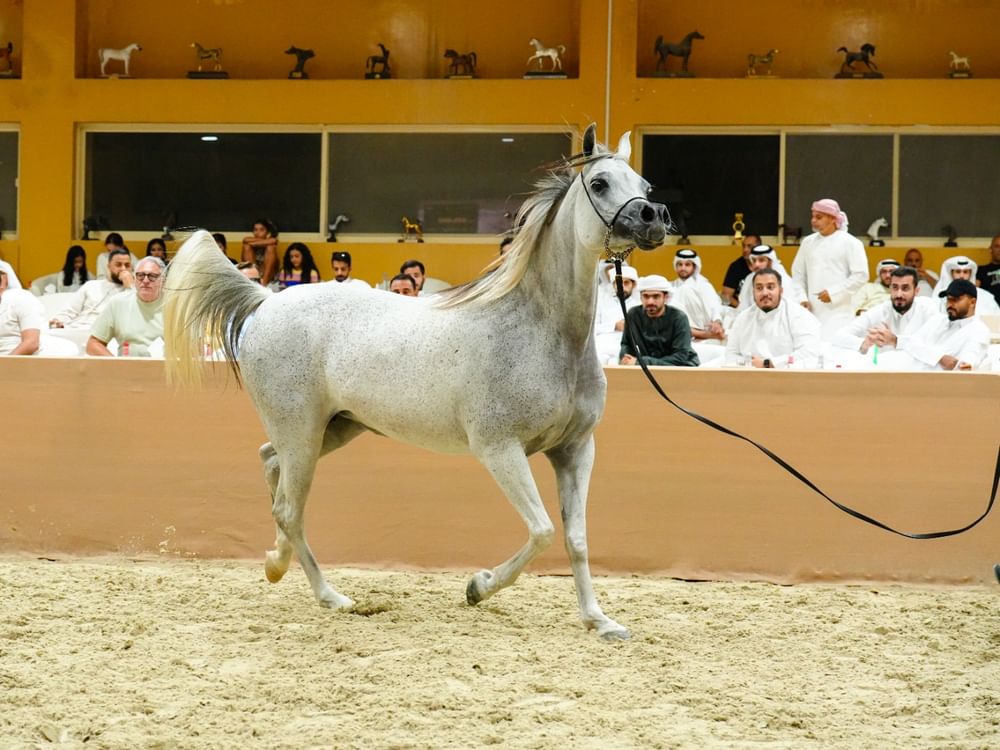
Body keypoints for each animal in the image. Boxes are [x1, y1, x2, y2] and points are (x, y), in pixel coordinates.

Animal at [162, 124, 668, 640]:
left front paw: (599, 620)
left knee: (271, 467)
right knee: (289, 507)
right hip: (301, 432)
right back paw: (324, 592)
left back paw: (278, 562)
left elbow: (576, 537)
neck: (543, 332)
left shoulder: (575, 450)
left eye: (645, 185)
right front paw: (478, 586)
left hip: (334, 428)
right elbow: (543, 530)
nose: (653, 218)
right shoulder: (500, 448)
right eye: (601, 183)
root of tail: (266, 300)